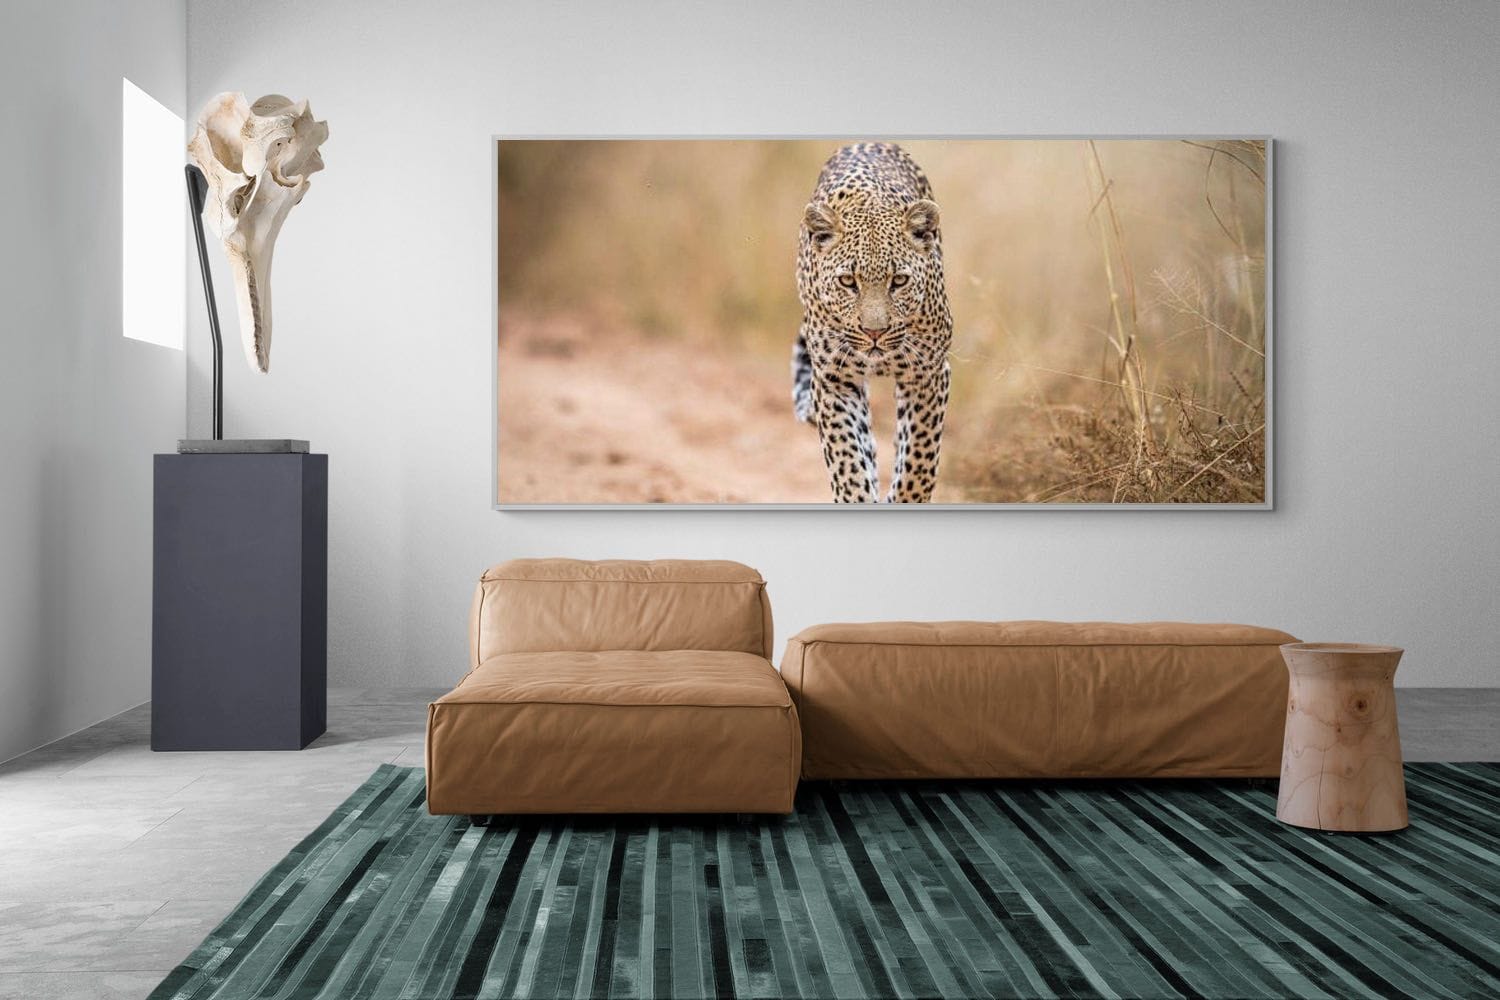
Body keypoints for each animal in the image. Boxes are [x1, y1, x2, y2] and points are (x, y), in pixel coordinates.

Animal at [792, 142, 952, 503]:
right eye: (848, 281)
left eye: (899, 281)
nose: (874, 332)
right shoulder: (834, 379)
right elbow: (847, 459)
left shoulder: (928, 375)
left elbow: (918, 460)